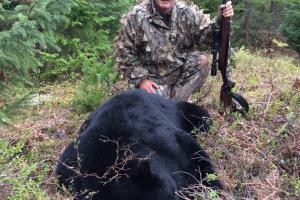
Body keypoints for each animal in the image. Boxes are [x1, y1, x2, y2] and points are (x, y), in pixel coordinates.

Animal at [55, 90, 223, 199]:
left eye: (173, 194)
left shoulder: (162, 138)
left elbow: (193, 152)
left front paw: (213, 187)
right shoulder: (73, 165)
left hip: (185, 111)